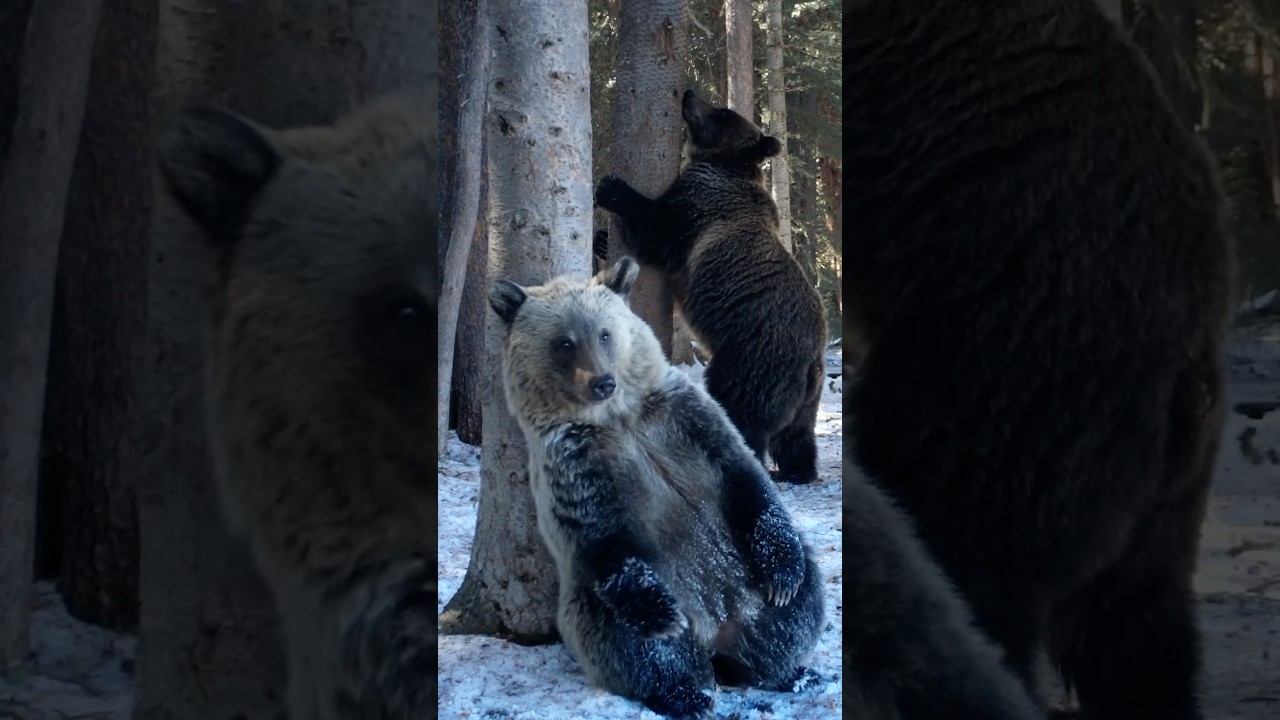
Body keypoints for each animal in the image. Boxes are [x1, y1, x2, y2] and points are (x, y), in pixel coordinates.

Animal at [489, 257, 824, 719]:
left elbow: (745, 479)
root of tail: (715, 632)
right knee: (638, 648)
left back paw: (791, 669)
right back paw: (685, 693)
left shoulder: (685, 420)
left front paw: (783, 576)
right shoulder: (575, 464)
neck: (617, 418)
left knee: (791, 615)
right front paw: (662, 614)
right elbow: (606, 540)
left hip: (744, 582)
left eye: (605, 332)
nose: (602, 382)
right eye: (564, 342)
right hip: (595, 600)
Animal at [594, 90, 826, 485]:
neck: (720, 166)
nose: (689, 94)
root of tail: (812, 359)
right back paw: (795, 472)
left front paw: (611, 186)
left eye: (721, 112)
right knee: (796, 437)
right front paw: (600, 237)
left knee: (738, 409)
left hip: (750, 356)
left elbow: (658, 233)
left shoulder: (700, 212)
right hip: (806, 397)